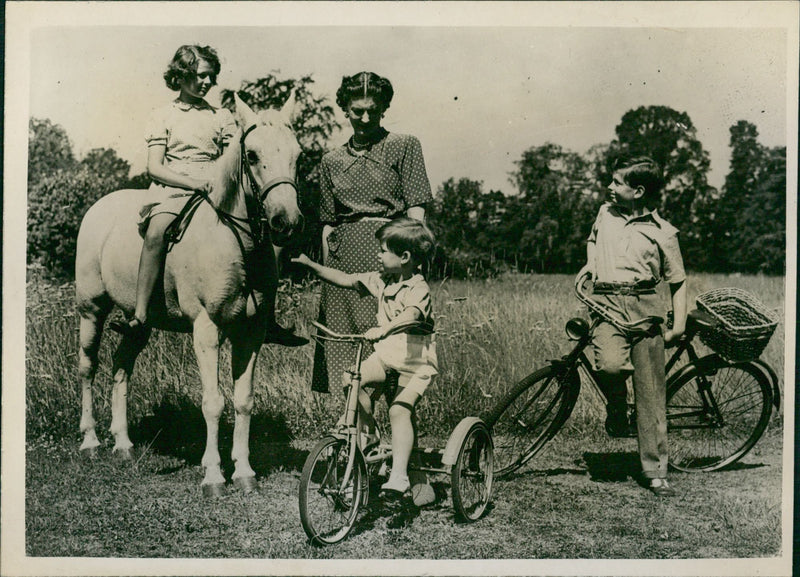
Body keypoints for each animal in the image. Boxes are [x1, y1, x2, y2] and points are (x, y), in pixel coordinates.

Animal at [74, 95, 304, 496]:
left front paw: (244, 471)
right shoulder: (206, 330)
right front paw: (213, 474)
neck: (233, 239)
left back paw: (123, 443)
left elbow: (243, 401)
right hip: (91, 310)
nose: (286, 221)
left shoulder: (251, 334)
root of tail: (98, 208)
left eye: (298, 155)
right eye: (253, 155)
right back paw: (90, 441)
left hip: (139, 323)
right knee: (88, 367)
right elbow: (213, 402)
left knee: (121, 366)